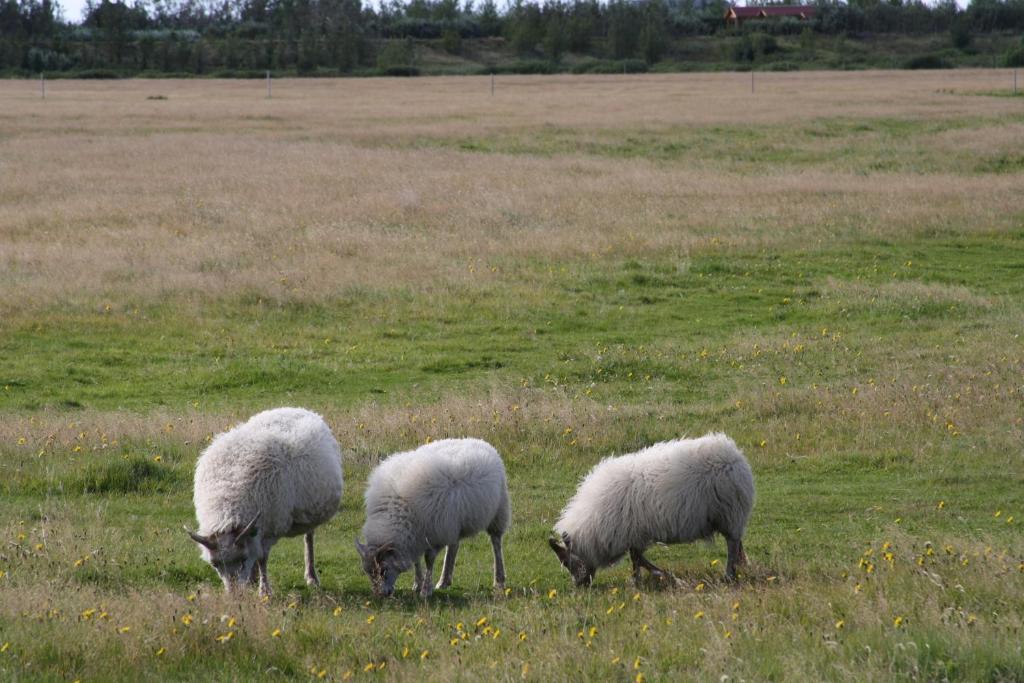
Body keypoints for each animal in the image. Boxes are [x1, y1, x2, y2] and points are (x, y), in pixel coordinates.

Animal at [184, 409, 344, 593]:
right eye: (215, 565)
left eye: (242, 559)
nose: (234, 595)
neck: (227, 503)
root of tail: (295, 408)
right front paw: (253, 582)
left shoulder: (270, 528)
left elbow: (262, 559)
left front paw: (264, 590)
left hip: (309, 511)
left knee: (308, 538)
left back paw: (311, 577)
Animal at [356, 438, 512, 598]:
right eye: (367, 572)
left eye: (383, 570)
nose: (380, 595)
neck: (396, 512)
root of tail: (480, 441)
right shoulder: (416, 534)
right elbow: (417, 560)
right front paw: (418, 584)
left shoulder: (434, 533)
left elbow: (428, 560)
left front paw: (425, 589)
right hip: (453, 521)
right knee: (454, 546)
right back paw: (444, 581)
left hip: (498, 511)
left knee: (496, 543)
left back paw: (499, 581)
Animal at [552, 432, 753, 589]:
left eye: (567, 561)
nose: (580, 586)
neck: (594, 525)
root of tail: (735, 455)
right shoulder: (634, 535)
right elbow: (638, 558)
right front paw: (645, 579)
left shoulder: (633, 533)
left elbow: (638, 559)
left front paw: (652, 579)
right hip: (730, 516)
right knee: (737, 544)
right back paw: (740, 567)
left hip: (730, 513)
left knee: (732, 545)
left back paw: (729, 575)